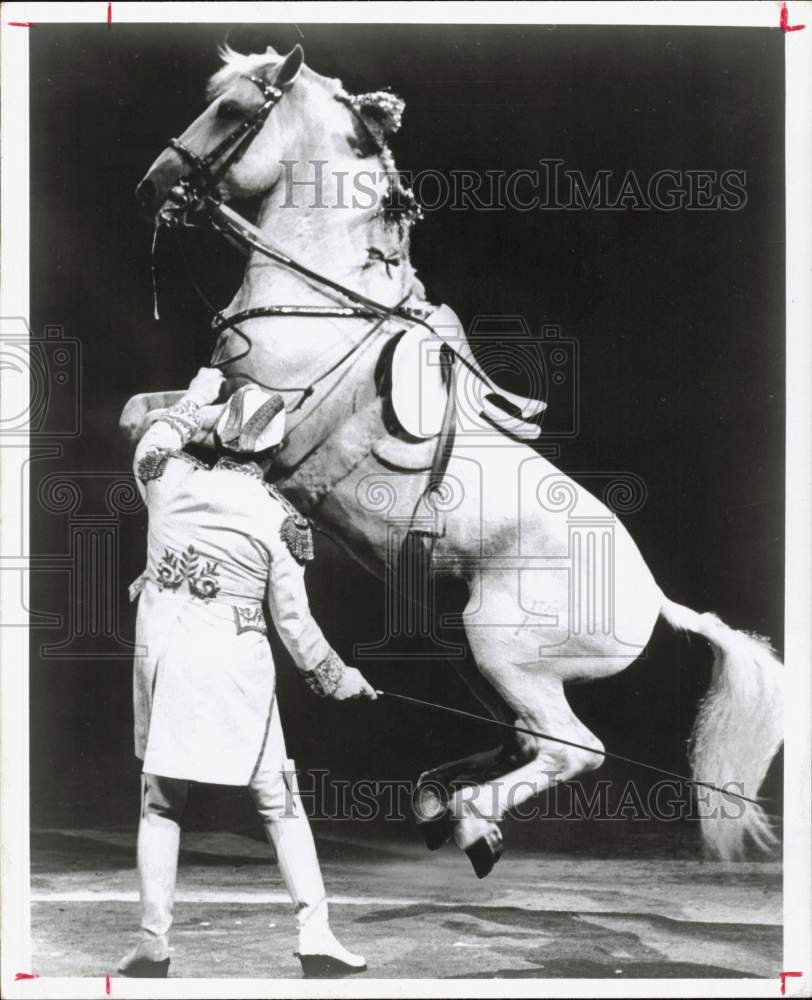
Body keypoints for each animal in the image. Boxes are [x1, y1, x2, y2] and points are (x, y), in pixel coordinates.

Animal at [125, 45, 780, 876]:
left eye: (235, 110)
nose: (153, 187)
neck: (326, 300)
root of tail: (657, 600)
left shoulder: (265, 409)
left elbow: (166, 416)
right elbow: (148, 408)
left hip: (507, 655)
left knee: (574, 751)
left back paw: (470, 820)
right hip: (486, 662)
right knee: (528, 742)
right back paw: (446, 807)